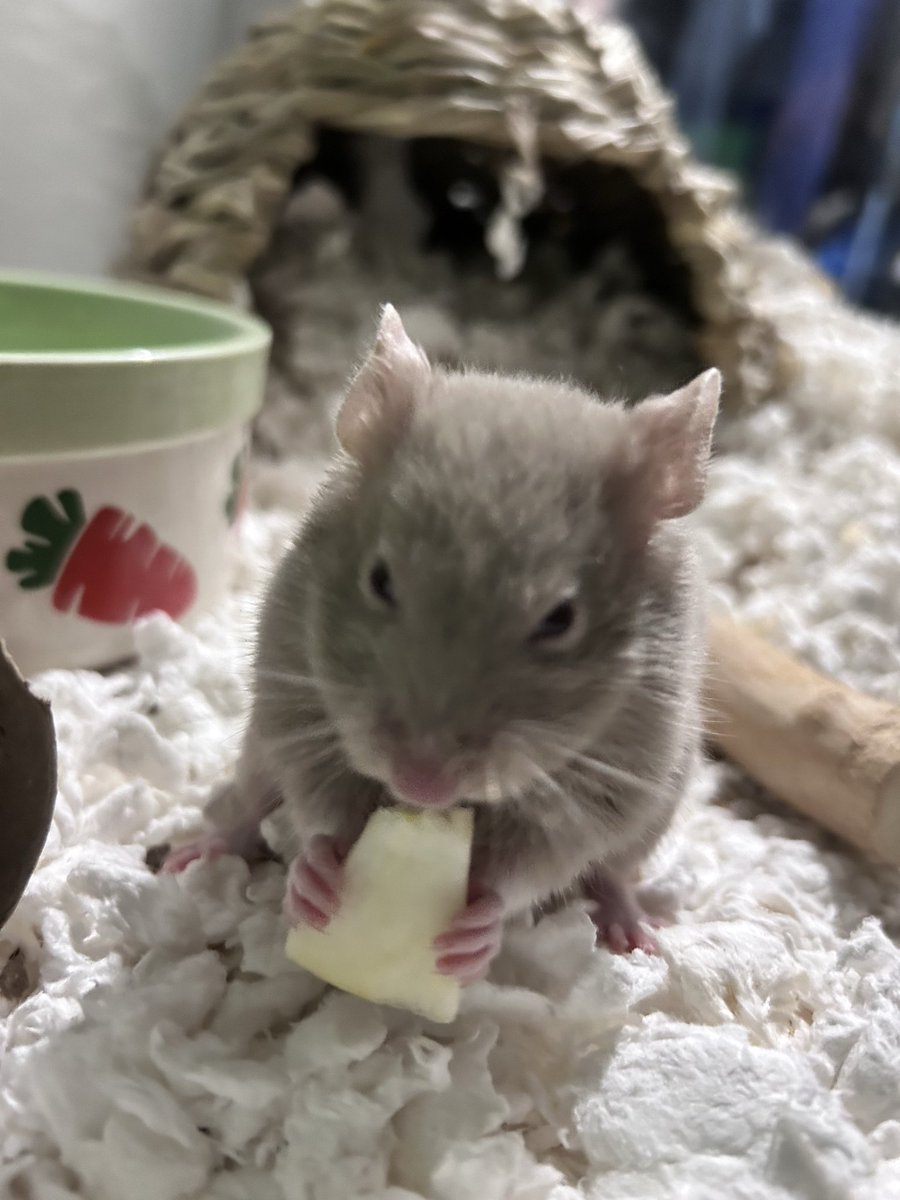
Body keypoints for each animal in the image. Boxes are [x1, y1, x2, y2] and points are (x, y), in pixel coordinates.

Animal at [163, 305, 720, 981]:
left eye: (560, 619)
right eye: (379, 579)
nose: (420, 784)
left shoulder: (603, 786)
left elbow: (531, 865)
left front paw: (474, 931)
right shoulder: (297, 704)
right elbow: (321, 808)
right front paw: (315, 880)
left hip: (651, 818)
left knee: (611, 873)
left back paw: (635, 933)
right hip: (257, 746)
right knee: (249, 805)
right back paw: (196, 855)